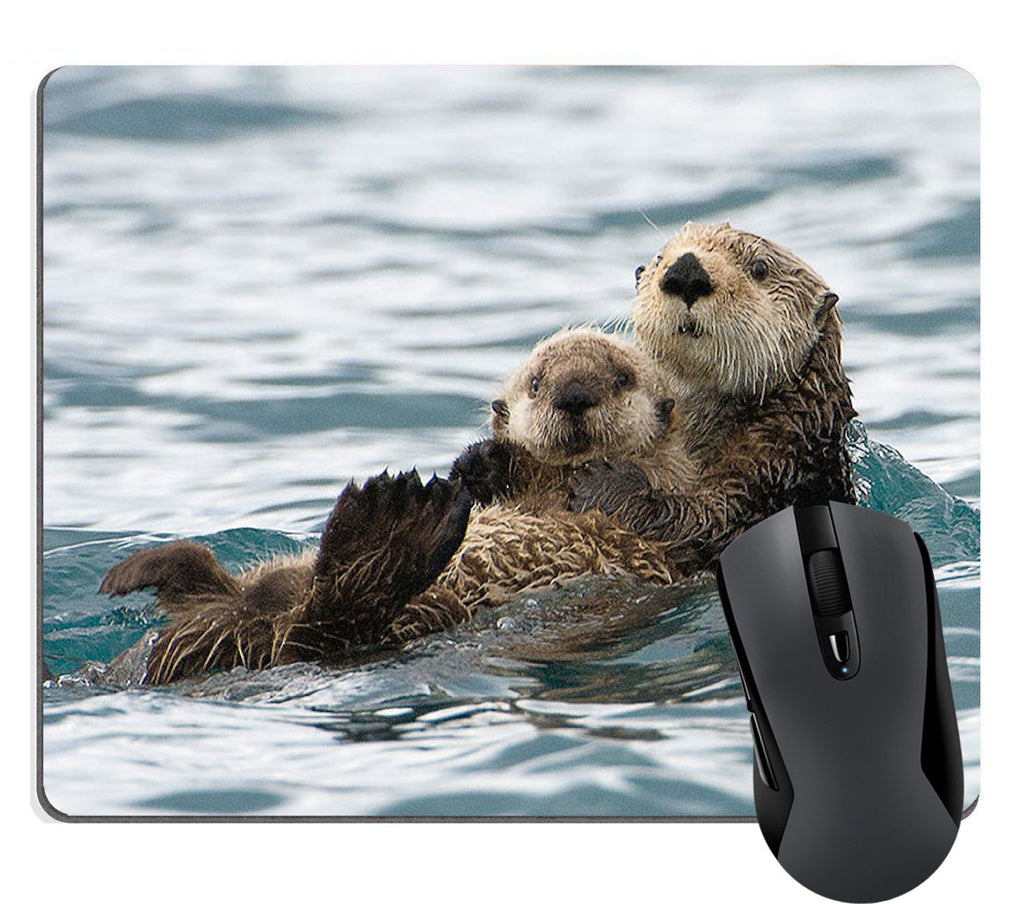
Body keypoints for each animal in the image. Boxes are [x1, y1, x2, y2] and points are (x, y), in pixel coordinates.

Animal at [565, 222, 857, 574]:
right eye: (660, 258)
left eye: (760, 268)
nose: (686, 271)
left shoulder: (775, 464)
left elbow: (712, 525)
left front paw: (604, 480)